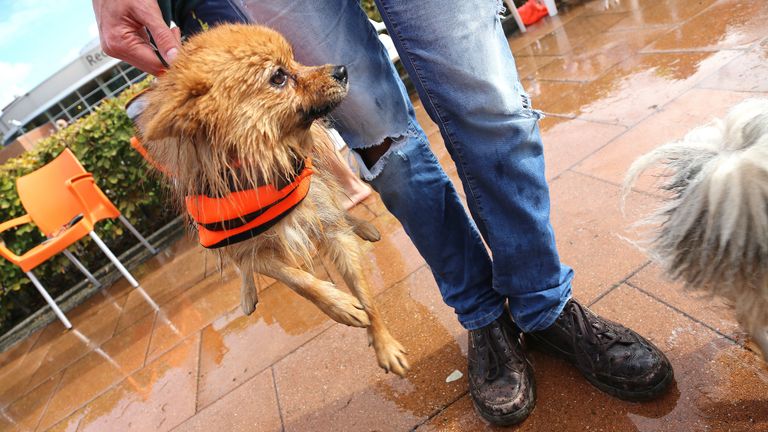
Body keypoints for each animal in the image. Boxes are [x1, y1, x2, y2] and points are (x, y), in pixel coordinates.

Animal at [134, 23, 408, 374]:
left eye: (295, 60)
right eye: (278, 76)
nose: (341, 70)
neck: (267, 162)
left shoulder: (326, 222)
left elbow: (365, 293)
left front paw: (384, 344)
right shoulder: (254, 248)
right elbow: (296, 279)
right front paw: (339, 305)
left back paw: (364, 226)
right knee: (240, 265)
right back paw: (247, 295)